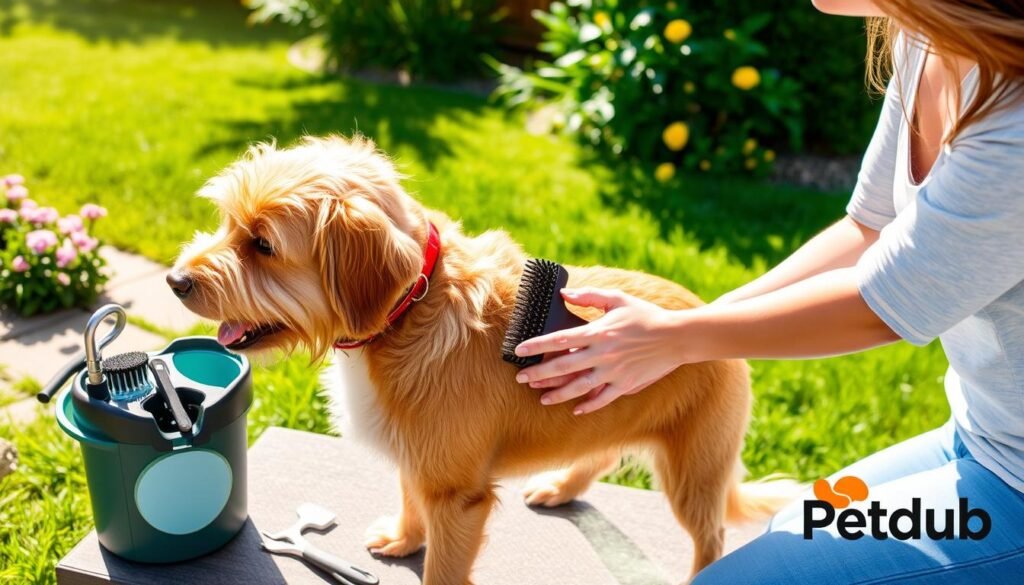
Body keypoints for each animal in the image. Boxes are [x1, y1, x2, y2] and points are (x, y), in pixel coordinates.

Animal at [167, 135, 794, 581]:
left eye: (263, 245)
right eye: (228, 223)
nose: (175, 281)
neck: (411, 311)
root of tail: (710, 313)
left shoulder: (457, 496)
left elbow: (443, 568)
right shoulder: (418, 459)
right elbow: (410, 498)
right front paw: (405, 538)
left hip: (693, 473)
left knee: (711, 537)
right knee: (602, 452)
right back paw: (561, 485)